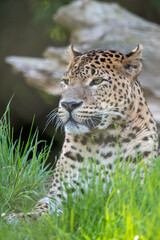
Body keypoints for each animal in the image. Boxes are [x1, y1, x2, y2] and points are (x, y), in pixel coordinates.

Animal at [5, 44, 159, 221]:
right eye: (66, 82)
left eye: (97, 81)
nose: (68, 104)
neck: (104, 140)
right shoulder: (58, 193)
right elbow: (40, 209)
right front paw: (16, 218)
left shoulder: (137, 193)